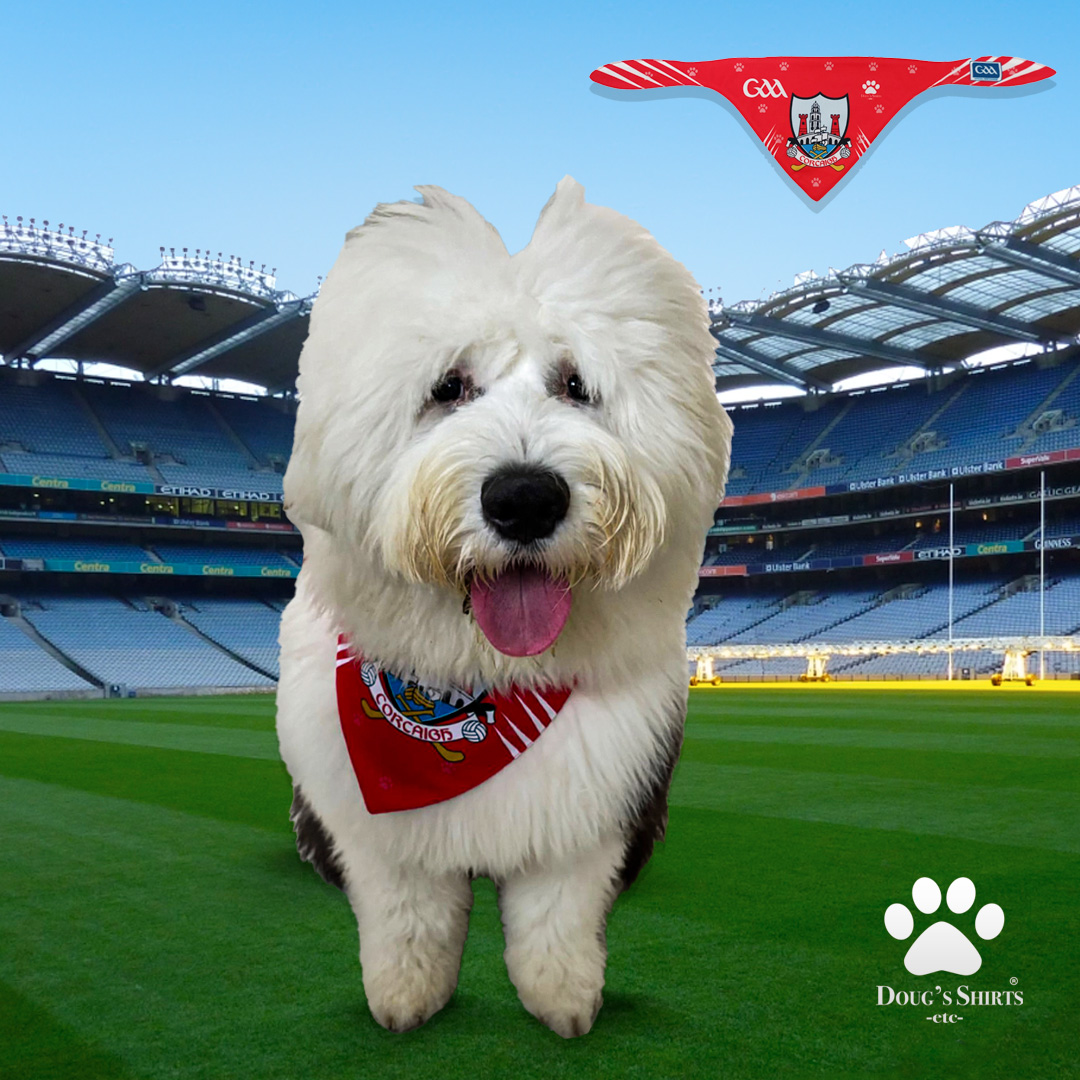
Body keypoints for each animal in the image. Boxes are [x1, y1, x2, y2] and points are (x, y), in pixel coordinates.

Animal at [276, 177, 734, 1036]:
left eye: (577, 384)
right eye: (448, 387)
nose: (524, 499)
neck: (486, 681)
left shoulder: (585, 803)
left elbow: (558, 912)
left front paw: (564, 1000)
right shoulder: (383, 829)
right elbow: (408, 913)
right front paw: (405, 998)